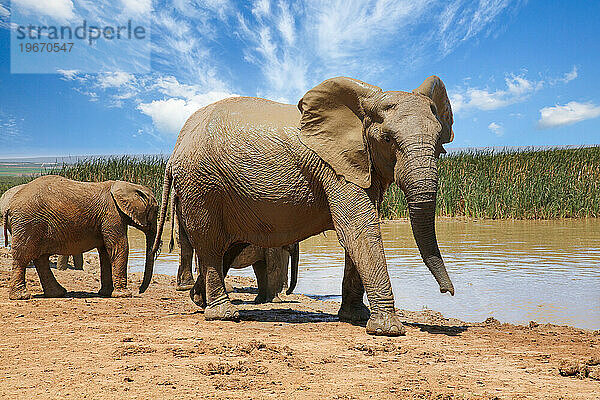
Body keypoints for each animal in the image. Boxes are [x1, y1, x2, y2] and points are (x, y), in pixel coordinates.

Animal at [3, 175, 158, 300]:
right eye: (156, 210)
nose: (140, 290)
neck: (128, 185)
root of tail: (9, 206)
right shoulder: (112, 214)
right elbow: (119, 248)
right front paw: (124, 295)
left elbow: (105, 252)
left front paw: (106, 293)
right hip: (28, 223)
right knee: (23, 256)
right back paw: (22, 296)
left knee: (40, 258)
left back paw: (57, 293)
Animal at [154, 76, 454, 336]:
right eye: (388, 139)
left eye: (439, 143)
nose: (448, 292)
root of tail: (175, 149)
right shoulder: (334, 168)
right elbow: (358, 229)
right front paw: (387, 330)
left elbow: (355, 235)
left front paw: (355, 317)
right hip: (201, 184)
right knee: (211, 244)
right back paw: (223, 314)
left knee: (226, 247)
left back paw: (199, 299)